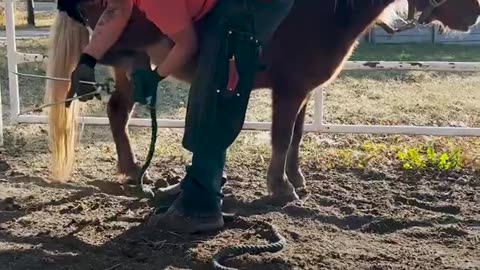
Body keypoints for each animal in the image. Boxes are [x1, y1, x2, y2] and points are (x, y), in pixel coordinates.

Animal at [46, 0, 480, 202]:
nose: (473, 15)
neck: (322, 14)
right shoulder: (288, 91)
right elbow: (281, 137)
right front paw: (281, 188)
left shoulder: (300, 92)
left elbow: (297, 137)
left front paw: (296, 180)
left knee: (118, 112)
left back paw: (134, 171)